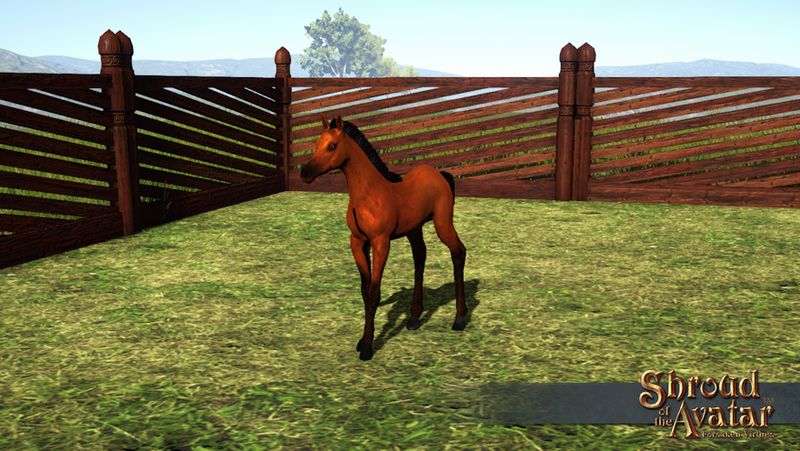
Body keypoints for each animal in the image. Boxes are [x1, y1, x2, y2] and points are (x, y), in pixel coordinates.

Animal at [300, 114, 467, 361]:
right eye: (316, 144)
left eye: (332, 146)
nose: (305, 173)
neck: (369, 194)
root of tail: (440, 174)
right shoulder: (358, 242)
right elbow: (365, 290)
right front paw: (362, 340)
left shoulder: (381, 242)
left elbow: (374, 293)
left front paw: (368, 347)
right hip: (414, 229)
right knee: (420, 256)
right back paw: (414, 318)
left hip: (442, 224)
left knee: (458, 252)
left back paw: (460, 319)